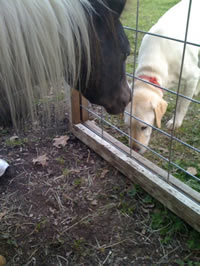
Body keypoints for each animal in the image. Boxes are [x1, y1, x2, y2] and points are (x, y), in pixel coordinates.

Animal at [125, 0, 200, 154]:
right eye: (128, 127)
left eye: (144, 127)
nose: (134, 149)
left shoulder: (191, 77)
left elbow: (182, 104)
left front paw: (176, 122)